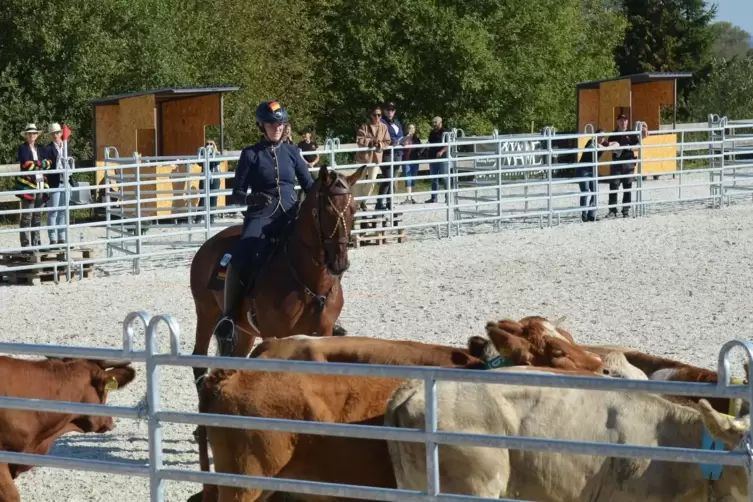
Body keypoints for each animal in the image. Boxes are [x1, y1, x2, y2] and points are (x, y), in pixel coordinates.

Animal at [187, 165, 364, 380]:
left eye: (353, 210)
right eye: (327, 210)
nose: (340, 263)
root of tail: (206, 245)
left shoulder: (324, 331)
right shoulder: (273, 334)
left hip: (244, 331)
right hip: (206, 313)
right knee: (199, 359)